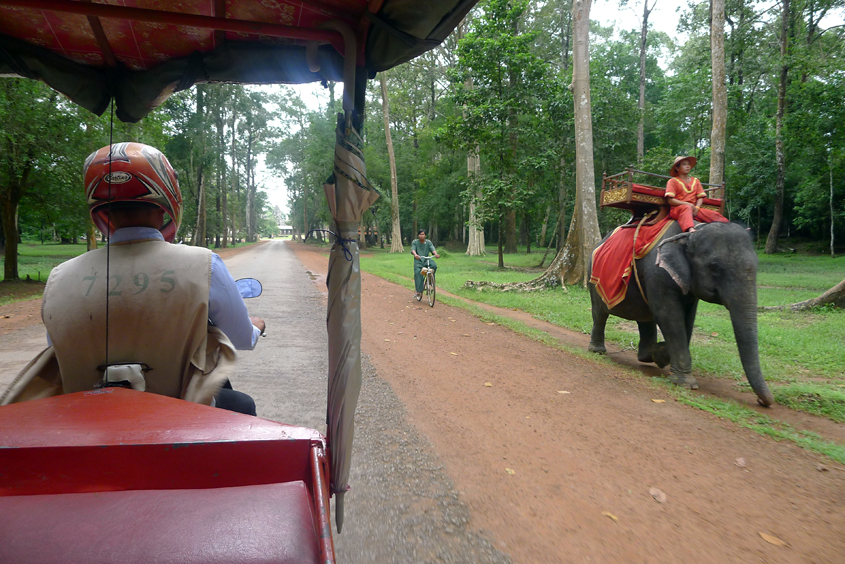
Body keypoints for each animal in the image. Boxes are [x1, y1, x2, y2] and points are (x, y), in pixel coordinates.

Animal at [588, 219, 772, 406]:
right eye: (714, 267)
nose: (760, 401)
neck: (691, 232)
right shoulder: (658, 272)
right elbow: (668, 315)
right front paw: (685, 383)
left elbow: (687, 319)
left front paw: (660, 354)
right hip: (593, 279)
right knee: (600, 314)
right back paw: (598, 351)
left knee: (644, 317)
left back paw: (646, 356)